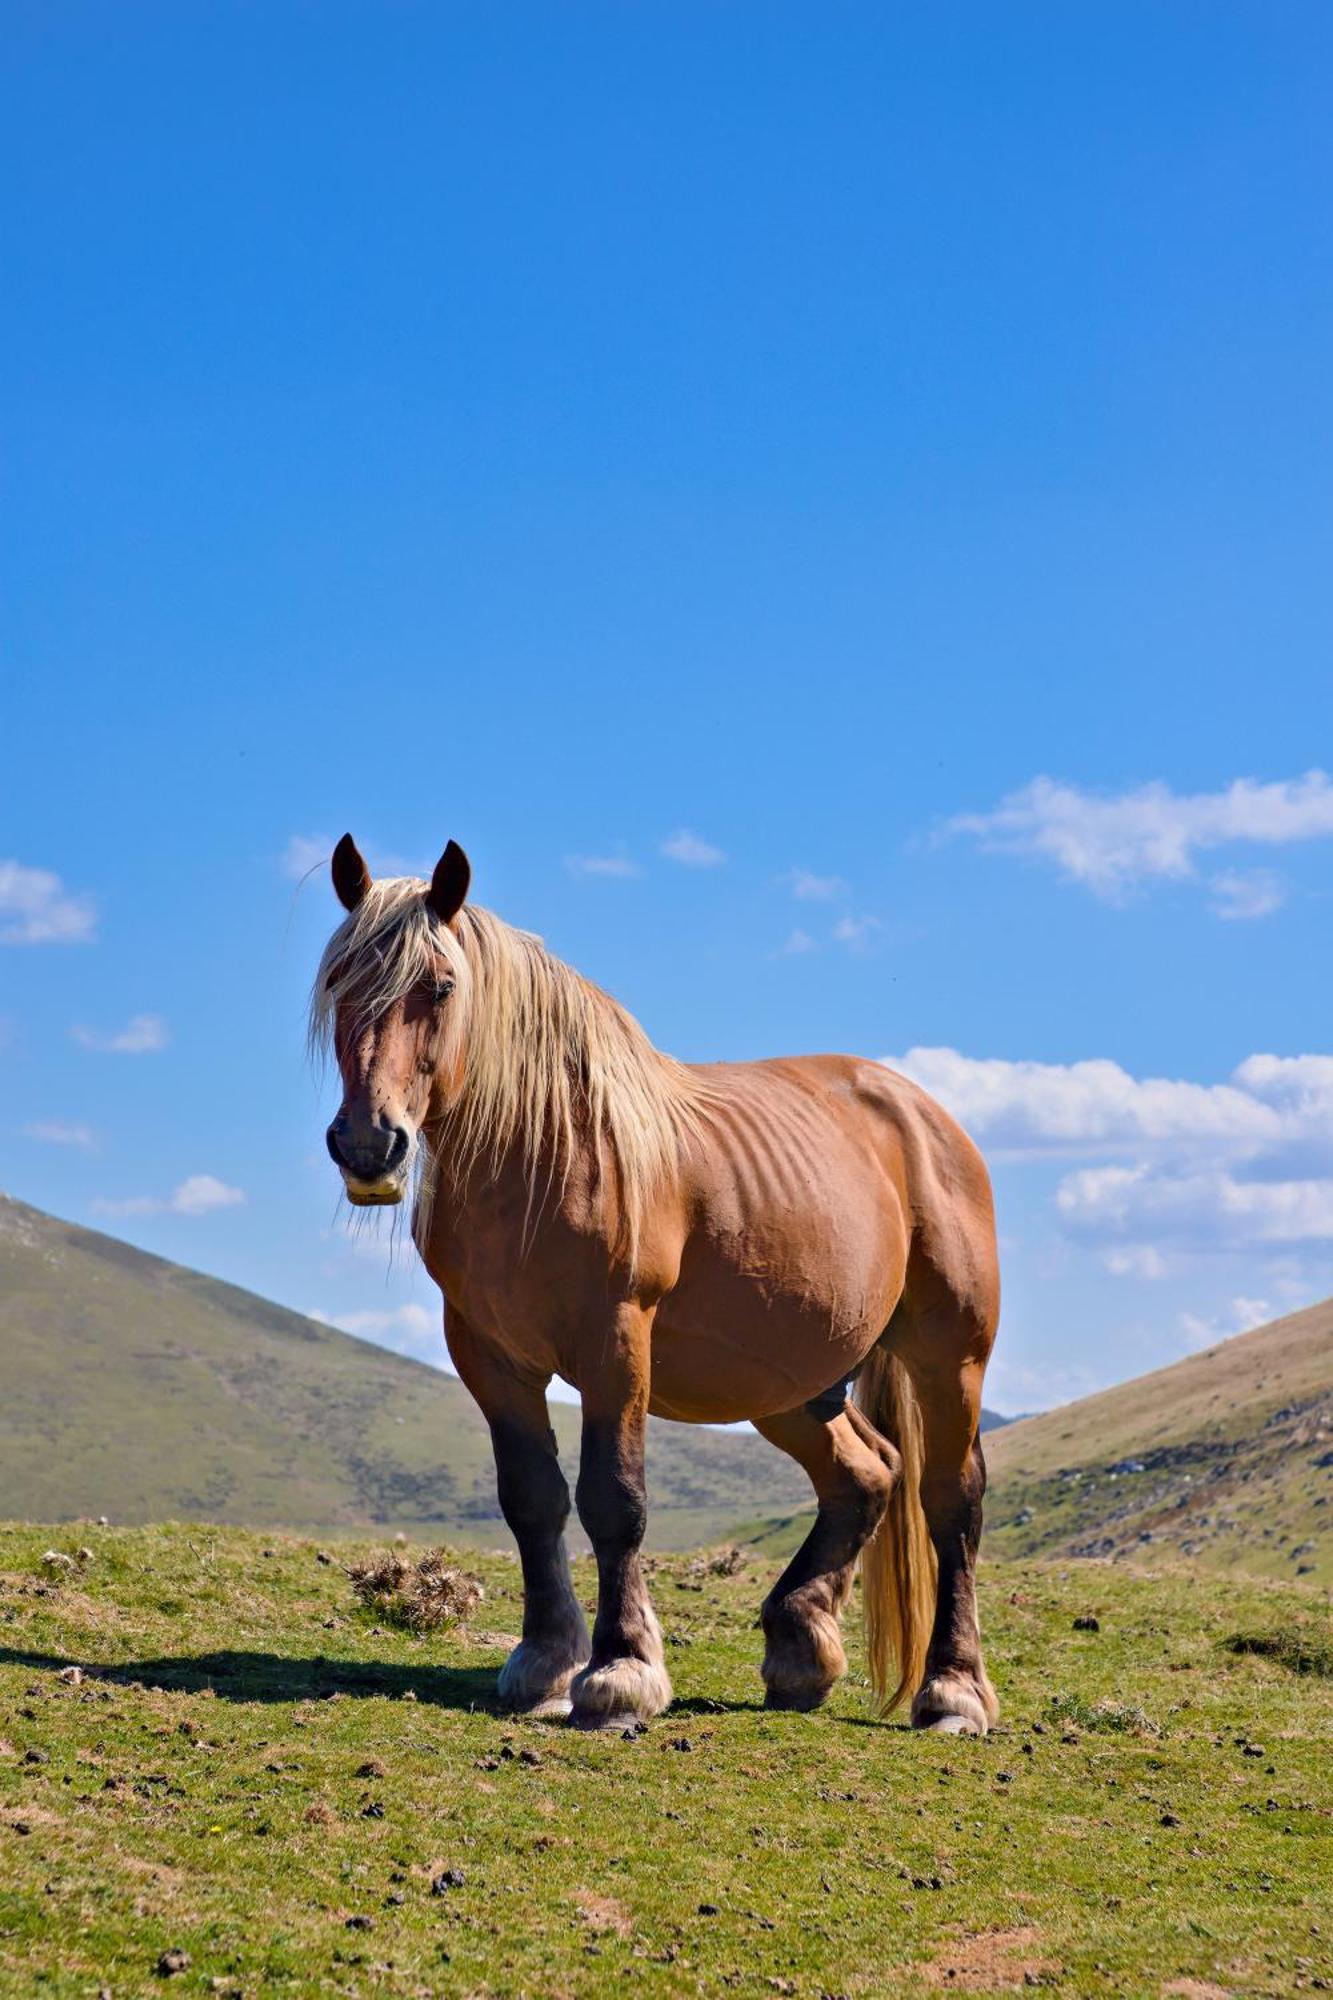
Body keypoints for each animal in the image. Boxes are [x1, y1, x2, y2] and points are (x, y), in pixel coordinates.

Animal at [312, 832, 996, 1736]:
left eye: (441, 986)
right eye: (336, 983)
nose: (367, 1144)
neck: (537, 1154)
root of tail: (922, 1113)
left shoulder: (616, 1344)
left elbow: (614, 1499)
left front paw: (619, 1670)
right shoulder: (491, 1357)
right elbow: (531, 1498)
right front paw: (543, 1665)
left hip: (948, 1358)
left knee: (949, 1501)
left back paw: (953, 1691)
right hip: (785, 1385)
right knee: (865, 1474)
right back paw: (800, 1649)